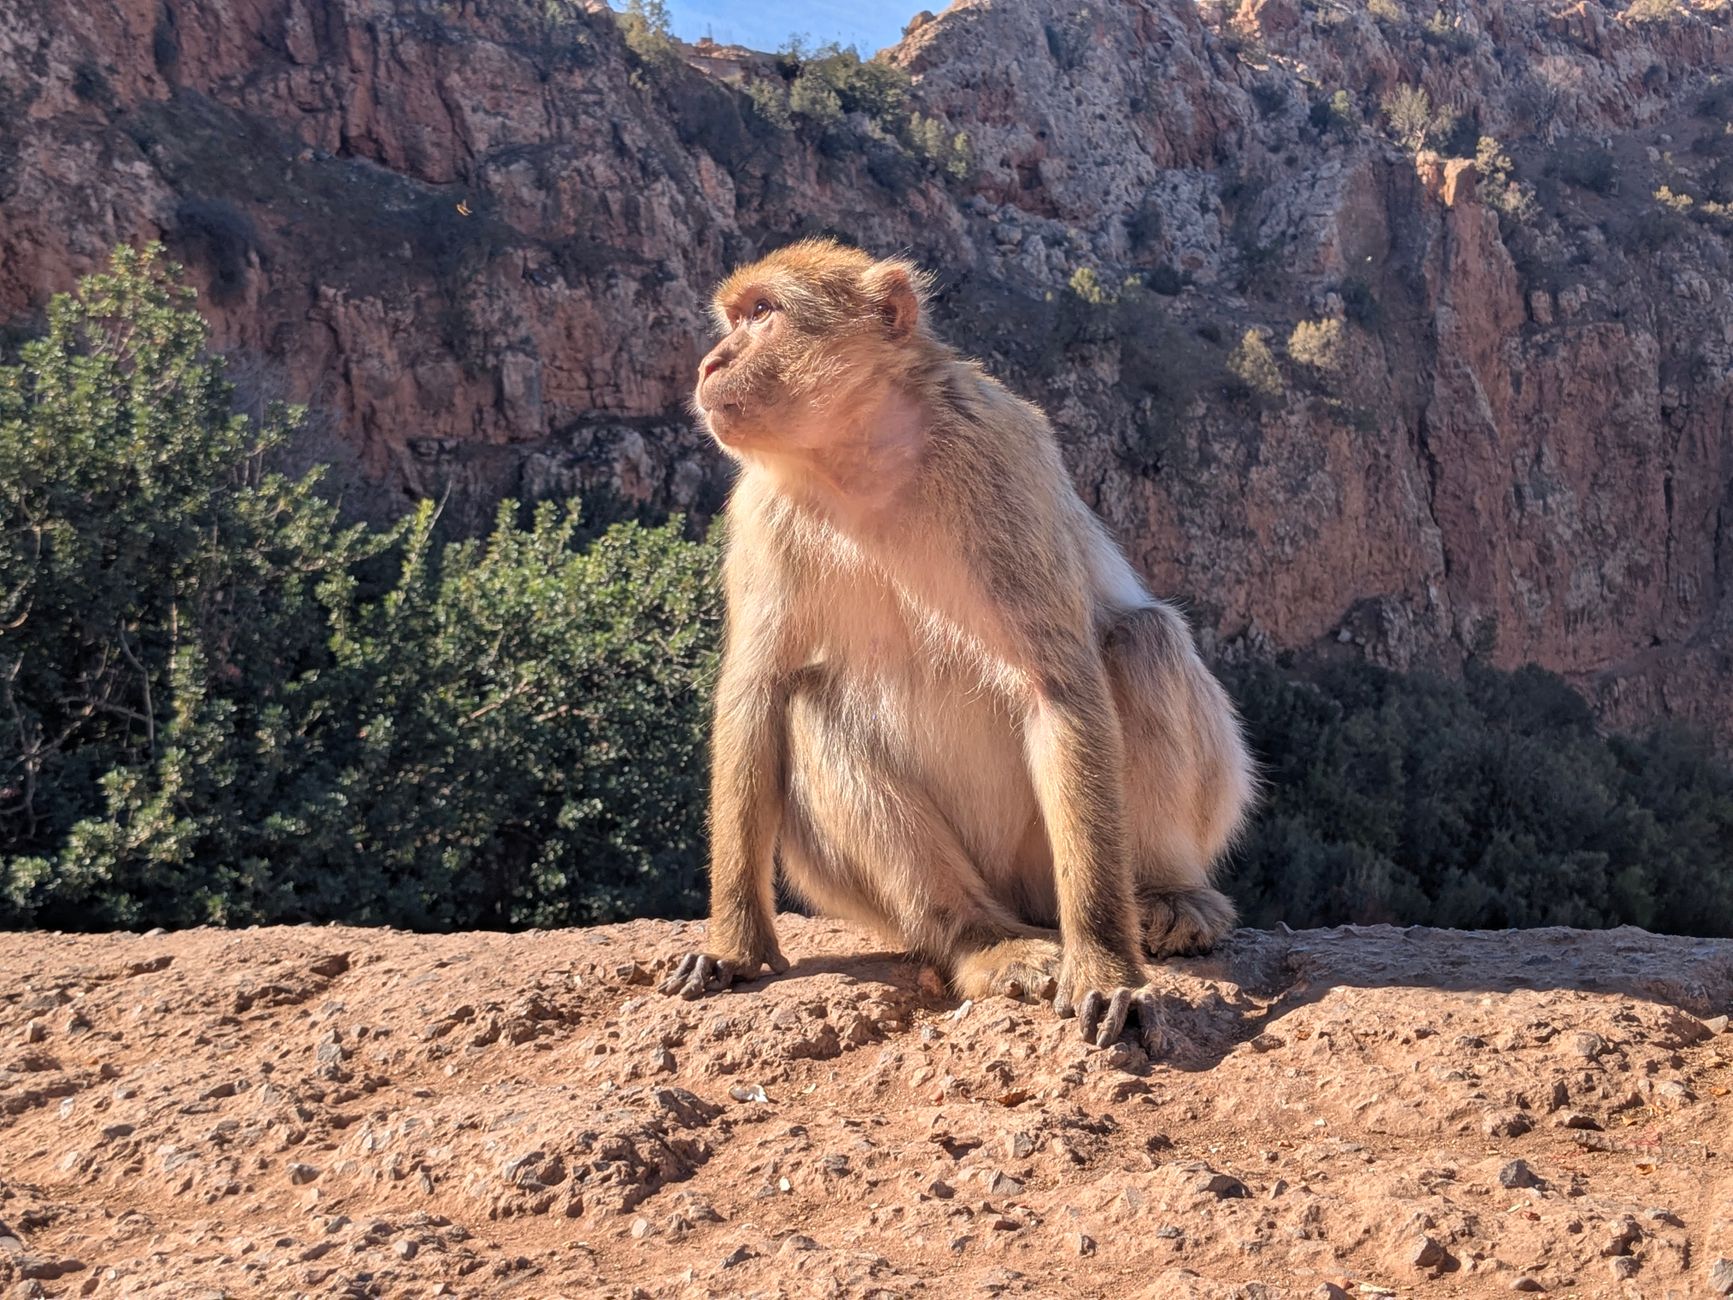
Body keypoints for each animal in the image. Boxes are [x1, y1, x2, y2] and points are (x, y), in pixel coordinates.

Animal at [659, 238, 1254, 1050]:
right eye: (736, 317)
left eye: (763, 312)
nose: (710, 363)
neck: (862, 462)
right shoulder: (761, 513)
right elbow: (759, 692)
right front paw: (734, 944)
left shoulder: (1000, 455)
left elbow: (1058, 687)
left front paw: (1106, 964)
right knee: (810, 708)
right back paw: (981, 942)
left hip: (1053, 860)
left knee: (1144, 640)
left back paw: (1166, 895)